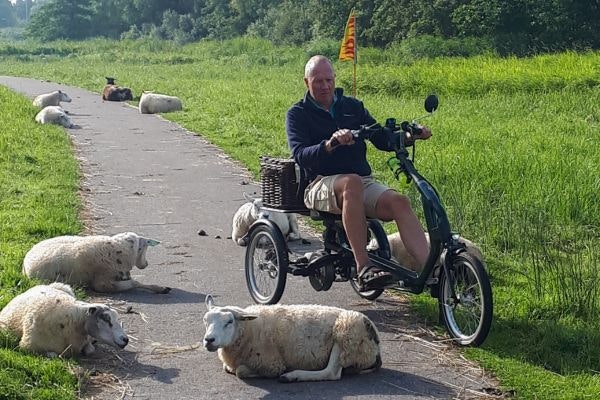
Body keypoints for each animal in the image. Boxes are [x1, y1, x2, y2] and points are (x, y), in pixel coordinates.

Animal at [202, 296, 380, 382]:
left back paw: (291, 376)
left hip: (346, 334)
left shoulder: (271, 364)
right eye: (206, 320)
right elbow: (229, 368)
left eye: (229, 322)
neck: (250, 329)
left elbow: (240, 371)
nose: (209, 340)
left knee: (331, 373)